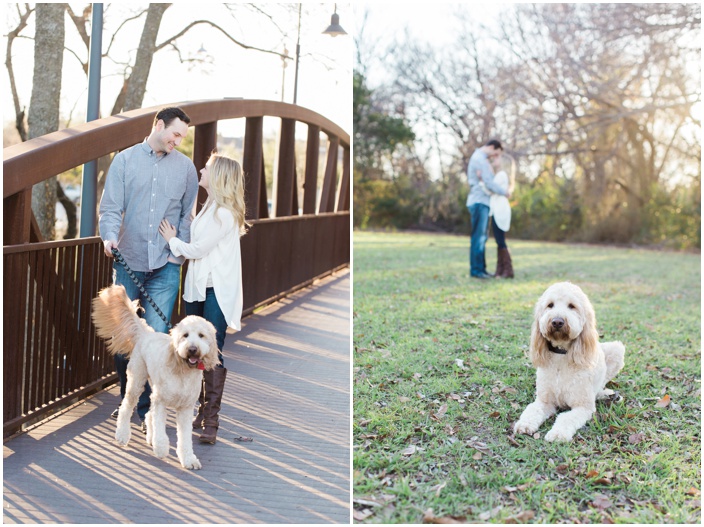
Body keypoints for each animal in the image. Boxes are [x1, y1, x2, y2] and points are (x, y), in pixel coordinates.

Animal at [92, 284, 217, 470]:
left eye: (201, 335)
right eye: (185, 335)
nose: (193, 349)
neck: (183, 370)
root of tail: (146, 333)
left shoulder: (185, 409)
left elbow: (185, 438)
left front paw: (188, 459)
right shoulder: (161, 401)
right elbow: (160, 427)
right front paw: (161, 448)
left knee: (148, 413)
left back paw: (148, 437)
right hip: (136, 381)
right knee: (126, 408)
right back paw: (122, 435)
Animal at [512, 282, 628, 444]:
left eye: (572, 306)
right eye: (550, 305)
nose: (557, 321)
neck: (561, 355)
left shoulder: (583, 407)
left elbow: (566, 418)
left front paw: (557, 434)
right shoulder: (544, 401)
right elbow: (532, 409)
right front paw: (524, 424)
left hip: (616, 349)